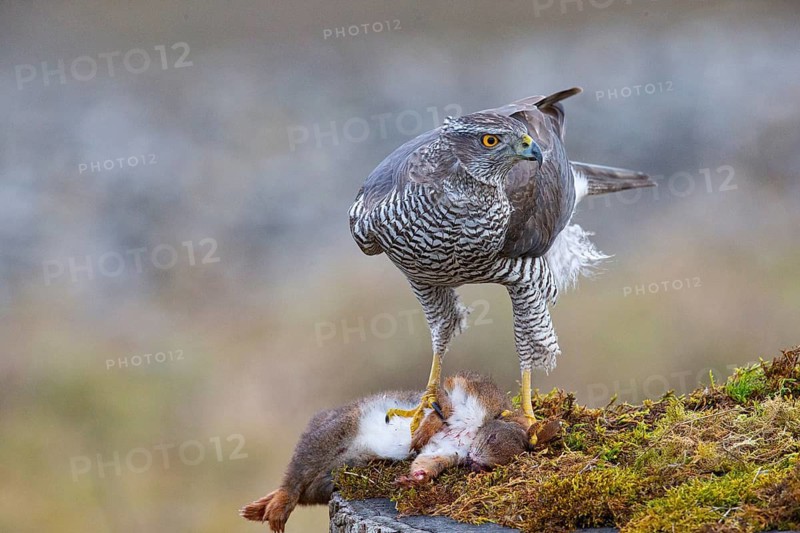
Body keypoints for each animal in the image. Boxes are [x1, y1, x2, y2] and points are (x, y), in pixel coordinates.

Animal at [240, 372, 559, 532]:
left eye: (495, 467)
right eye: (492, 436)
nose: (476, 462)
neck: (469, 437)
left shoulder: (448, 452)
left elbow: (429, 460)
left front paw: (414, 478)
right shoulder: (472, 395)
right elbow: (444, 395)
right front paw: (425, 428)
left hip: (328, 478)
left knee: (303, 491)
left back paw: (261, 507)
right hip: (330, 435)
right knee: (293, 479)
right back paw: (277, 507)